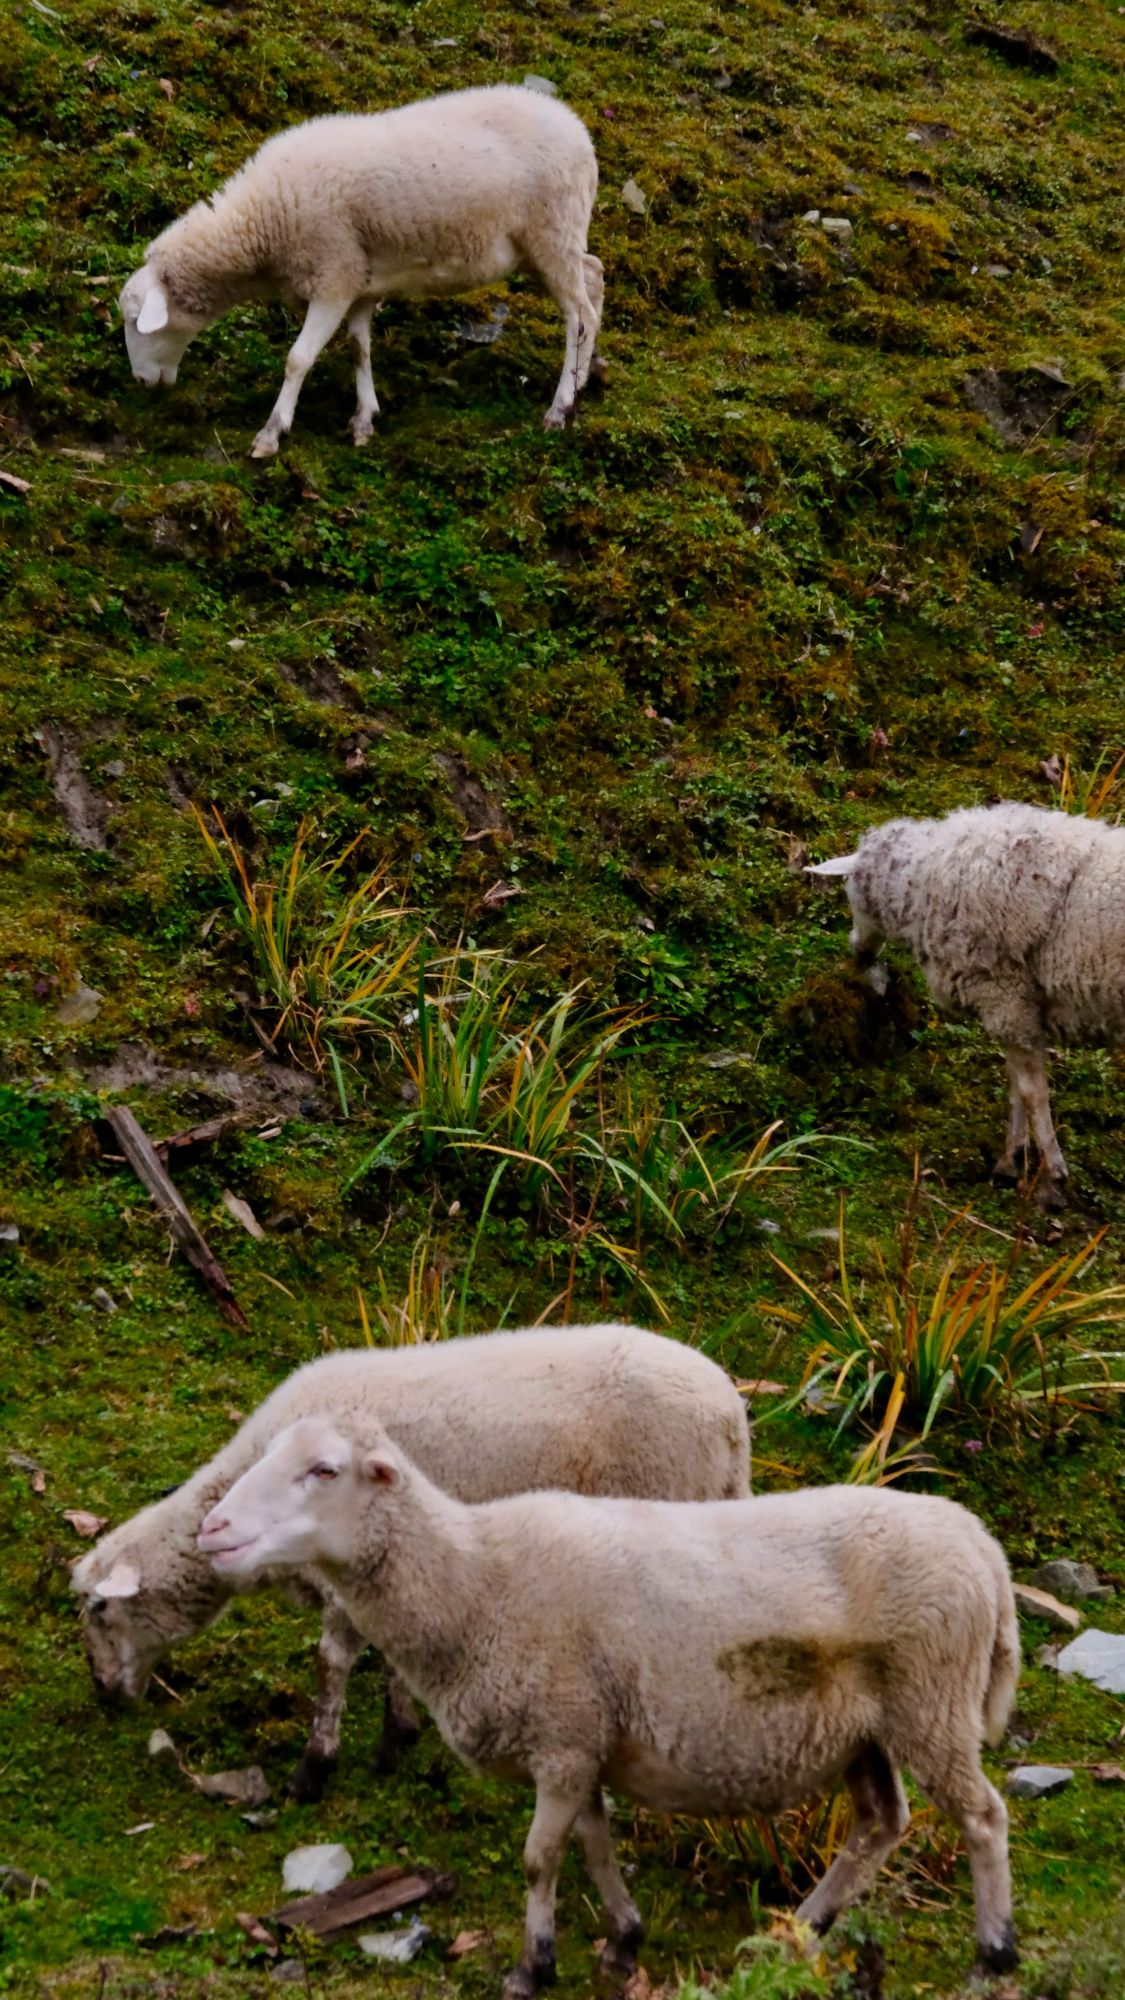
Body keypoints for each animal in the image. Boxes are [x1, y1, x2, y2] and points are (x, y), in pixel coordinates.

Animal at [71, 1323, 750, 1802]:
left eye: (100, 1609)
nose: (103, 1694)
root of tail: (730, 1412)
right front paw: (396, 1736)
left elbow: (331, 1665)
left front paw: (313, 1770)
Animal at [118, 85, 604, 456]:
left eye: (135, 320)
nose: (140, 382)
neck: (262, 225)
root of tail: (578, 129)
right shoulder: (361, 282)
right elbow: (358, 349)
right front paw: (364, 419)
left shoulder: (334, 276)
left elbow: (298, 359)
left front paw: (271, 432)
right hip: (551, 240)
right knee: (594, 278)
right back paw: (579, 382)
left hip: (553, 230)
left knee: (579, 315)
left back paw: (560, 408)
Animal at [200, 1419, 1020, 1995]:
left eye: (324, 1470)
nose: (215, 1529)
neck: (475, 1585)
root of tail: (982, 1544)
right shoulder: (581, 1738)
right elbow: (593, 1845)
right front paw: (623, 1939)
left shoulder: (563, 1737)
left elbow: (539, 1859)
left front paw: (532, 1967)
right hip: (865, 1731)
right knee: (881, 1822)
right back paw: (805, 1925)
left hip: (930, 1703)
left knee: (981, 1818)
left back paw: (992, 1955)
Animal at [808, 801, 1125, 1207]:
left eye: (850, 892)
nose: (858, 953)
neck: (921, 881)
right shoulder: (1014, 1010)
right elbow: (1016, 1087)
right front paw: (1009, 1164)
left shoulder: (1005, 997)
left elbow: (1031, 1092)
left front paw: (1052, 1175)